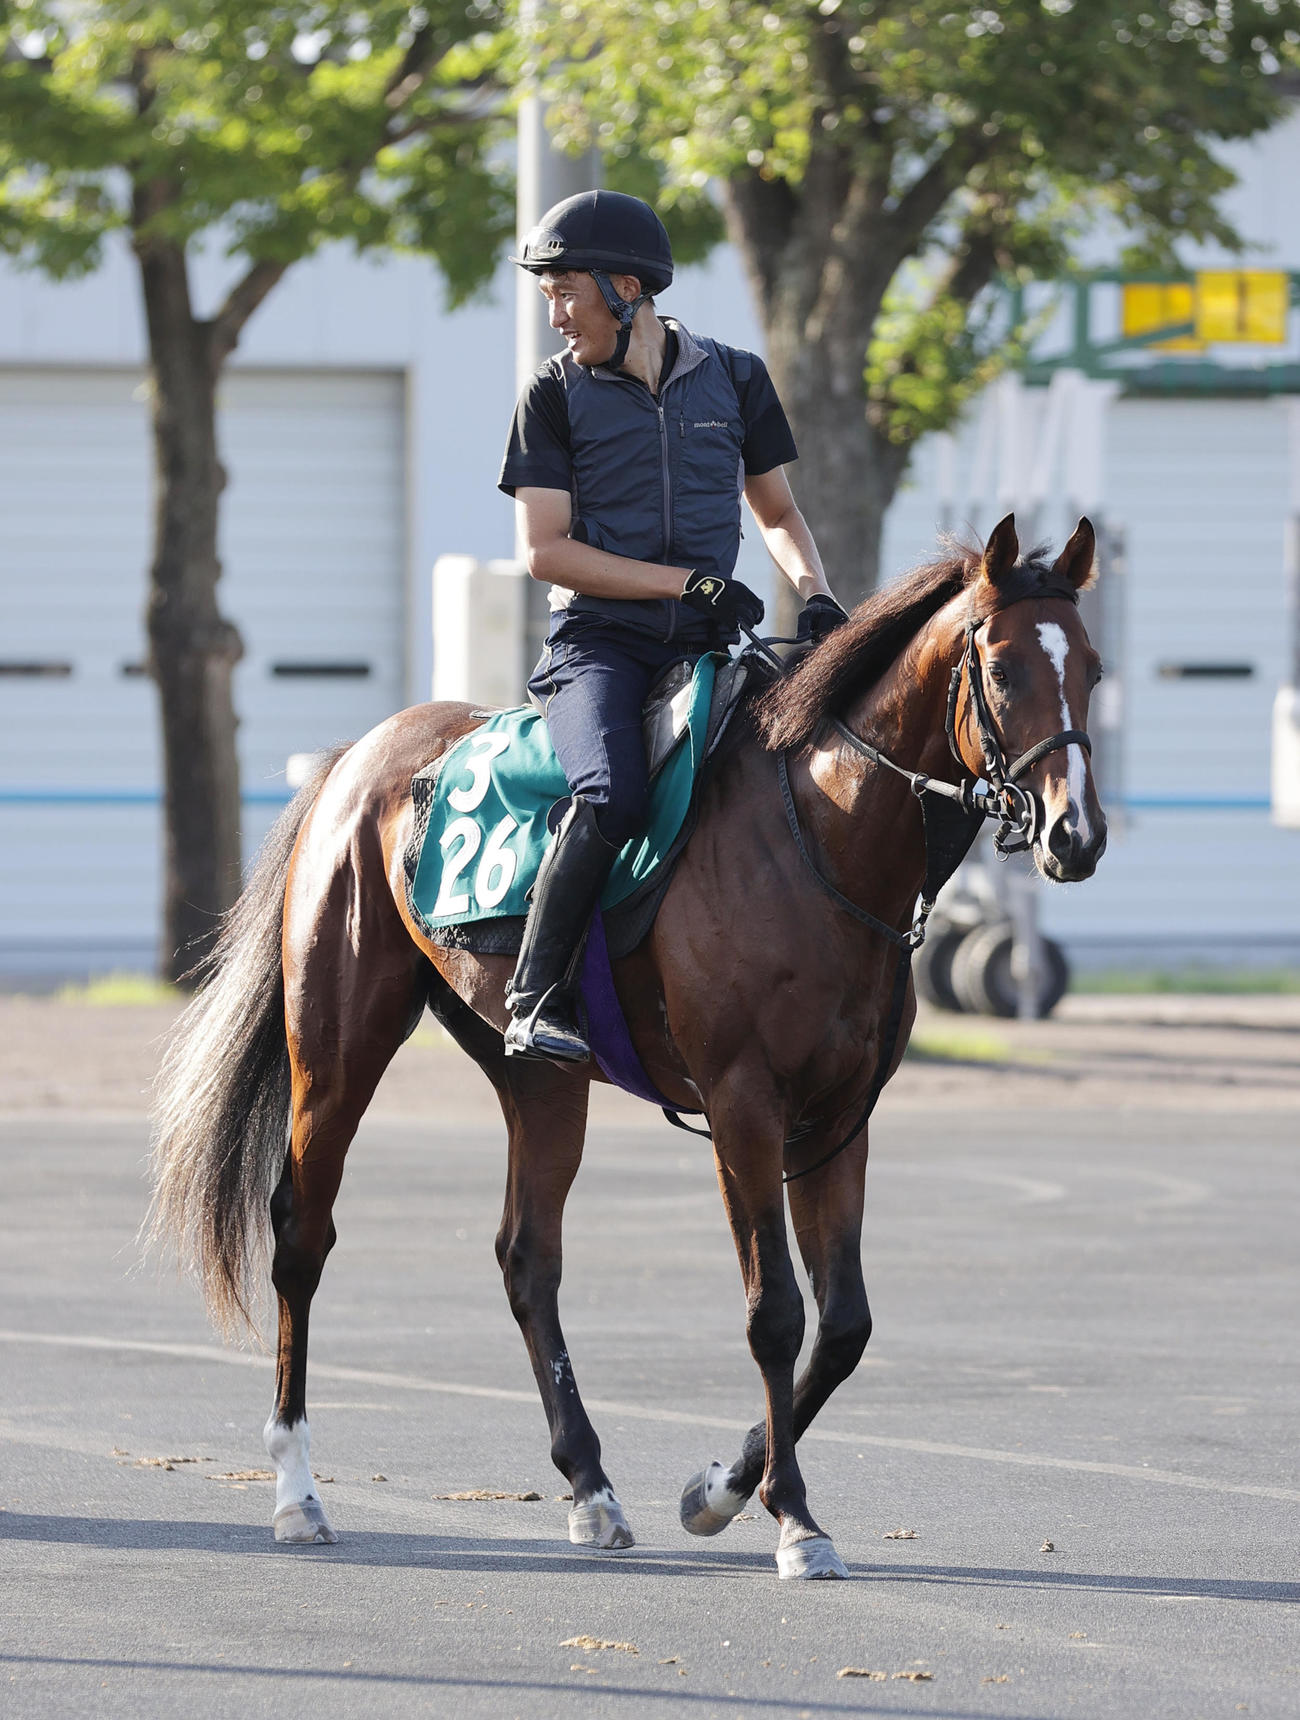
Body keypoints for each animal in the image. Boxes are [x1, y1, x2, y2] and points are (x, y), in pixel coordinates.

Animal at [148, 512, 1106, 1580]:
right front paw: (791, 1516)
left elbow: (844, 1326)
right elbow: (776, 1315)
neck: (819, 830)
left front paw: (722, 1488)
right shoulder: (744, 1106)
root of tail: (360, 756)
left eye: (1093, 668)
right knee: (302, 1236)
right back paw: (297, 1489)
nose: (1076, 834)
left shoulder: (838, 1117)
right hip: (337, 1050)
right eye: (1004, 669)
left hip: (538, 1080)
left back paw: (591, 1484)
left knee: (528, 1258)